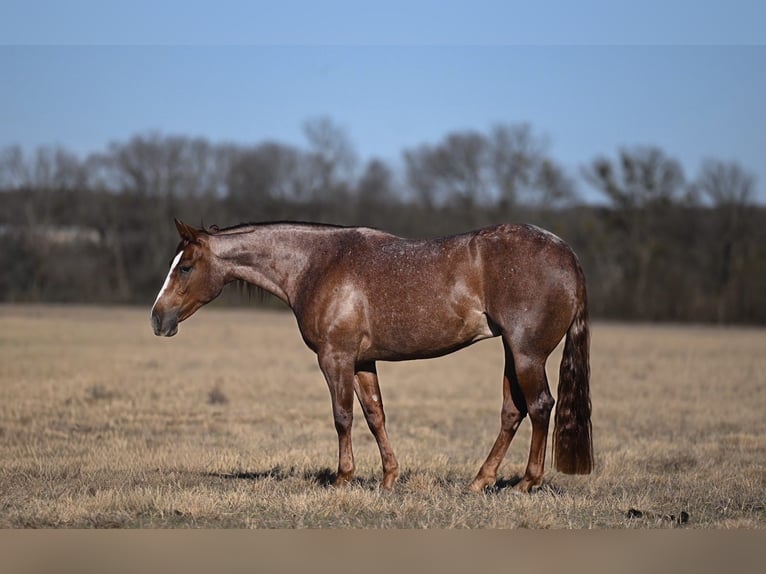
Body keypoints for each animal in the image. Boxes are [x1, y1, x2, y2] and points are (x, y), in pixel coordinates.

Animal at [151, 219, 592, 492]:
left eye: (185, 267)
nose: (157, 319)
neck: (317, 265)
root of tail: (566, 254)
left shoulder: (335, 358)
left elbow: (342, 417)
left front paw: (343, 477)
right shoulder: (362, 361)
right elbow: (375, 415)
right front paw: (388, 478)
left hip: (526, 353)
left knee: (539, 406)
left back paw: (526, 482)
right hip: (511, 352)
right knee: (512, 412)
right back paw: (479, 481)